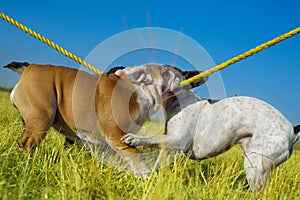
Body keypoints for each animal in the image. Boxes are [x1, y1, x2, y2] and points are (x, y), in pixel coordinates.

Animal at [122, 88, 300, 192]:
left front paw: (135, 139)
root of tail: (292, 130)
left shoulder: (178, 140)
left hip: (255, 164)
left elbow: (152, 138)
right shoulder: (171, 147)